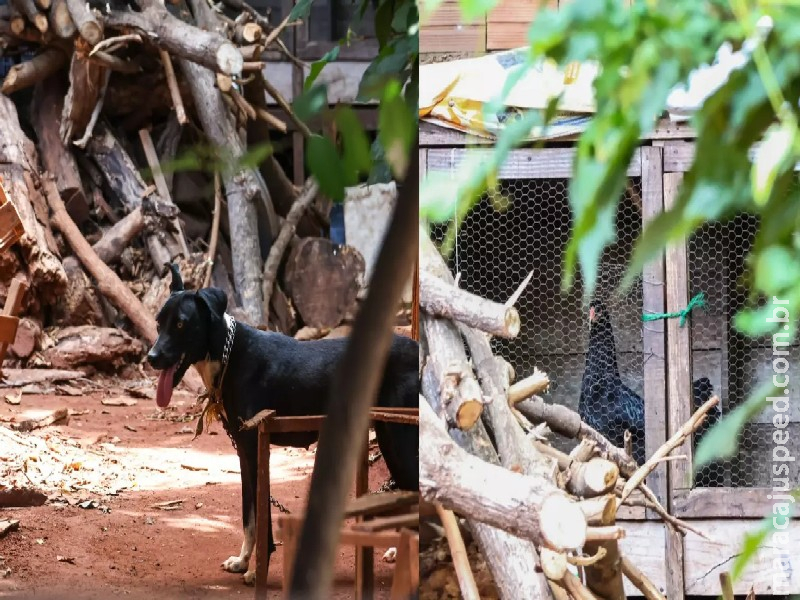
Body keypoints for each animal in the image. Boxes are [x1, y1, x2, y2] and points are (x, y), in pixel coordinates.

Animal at [146, 266, 418, 580]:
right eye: (159, 324)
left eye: (180, 324)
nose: (151, 357)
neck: (230, 355)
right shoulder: (244, 448)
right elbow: (248, 513)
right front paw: (243, 561)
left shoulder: (256, 446)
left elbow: (260, 512)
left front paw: (257, 569)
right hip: (390, 436)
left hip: (400, 438)